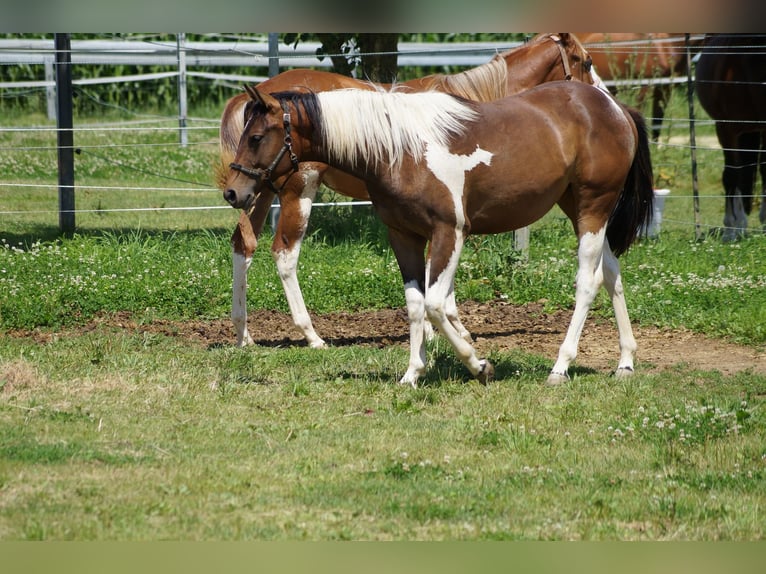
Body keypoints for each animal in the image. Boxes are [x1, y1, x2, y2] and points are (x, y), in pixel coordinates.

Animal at [216, 36, 608, 354]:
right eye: (586, 61)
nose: (605, 99)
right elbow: (438, 277)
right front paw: (447, 331)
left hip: (258, 190)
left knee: (243, 245)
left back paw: (243, 334)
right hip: (299, 190)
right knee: (284, 253)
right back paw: (311, 335)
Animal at [222, 81, 656, 388]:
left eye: (257, 137)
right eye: (243, 135)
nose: (233, 193)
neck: (399, 149)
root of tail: (614, 107)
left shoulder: (451, 233)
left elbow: (434, 304)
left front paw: (479, 365)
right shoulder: (404, 236)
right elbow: (416, 305)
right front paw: (413, 373)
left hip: (593, 206)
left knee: (588, 281)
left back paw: (560, 367)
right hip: (578, 208)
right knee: (612, 274)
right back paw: (626, 362)